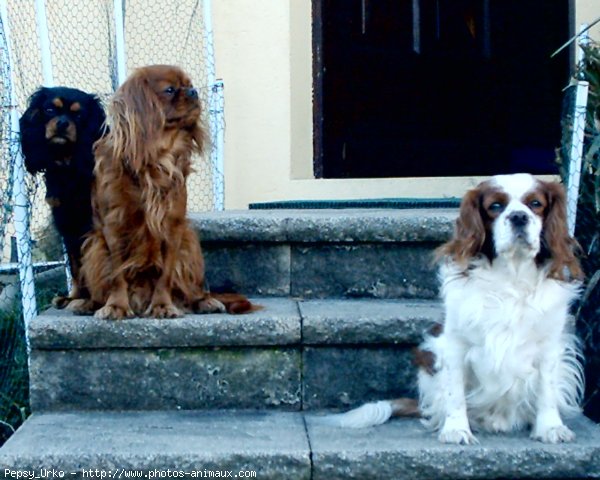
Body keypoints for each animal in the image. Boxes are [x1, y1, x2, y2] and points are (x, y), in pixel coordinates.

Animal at [19, 86, 106, 304]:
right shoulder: (66, 222)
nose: (62, 123)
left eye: (79, 115)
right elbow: (75, 264)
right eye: (50, 110)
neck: (69, 166)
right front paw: (75, 296)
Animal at [322, 173, 584, 446]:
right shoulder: (455, 344)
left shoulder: (550, 345)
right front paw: (456, 429)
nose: (519, 217)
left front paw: (550, 427)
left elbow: (546, 389)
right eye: (495, 206)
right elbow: (455, 393)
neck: (512, 276)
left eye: (535, 204)